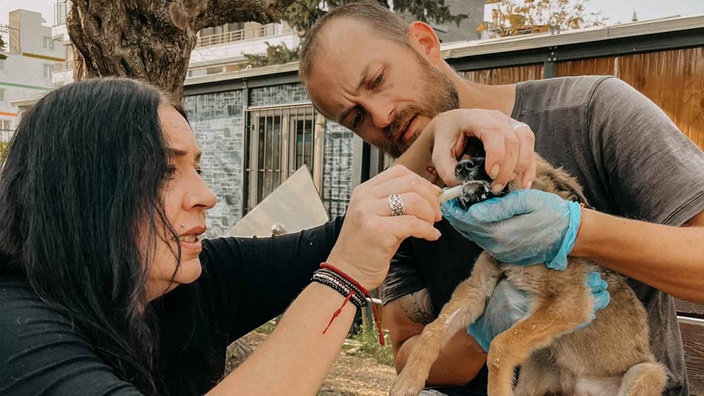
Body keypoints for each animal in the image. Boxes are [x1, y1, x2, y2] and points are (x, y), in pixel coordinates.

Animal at [388, 155, 668, 396]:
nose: (462, 165)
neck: (515, 256)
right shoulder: (476, 288)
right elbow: (433, 330)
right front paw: (408, 380)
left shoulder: (570, 304)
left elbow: (501, 346)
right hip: (536, 368)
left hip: (646, 372)